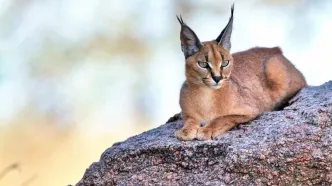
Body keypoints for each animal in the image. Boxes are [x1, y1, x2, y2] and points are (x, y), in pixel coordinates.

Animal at [174, 4, 306, 140]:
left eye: (225, 63)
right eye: (203, 64)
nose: (217, 78)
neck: (206, 95)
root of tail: (275, 49)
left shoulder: (252, 110)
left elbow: (224, 118)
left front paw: (207, 130)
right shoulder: (188, 113)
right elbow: (190, 119)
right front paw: (186, 130)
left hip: (274, 68)